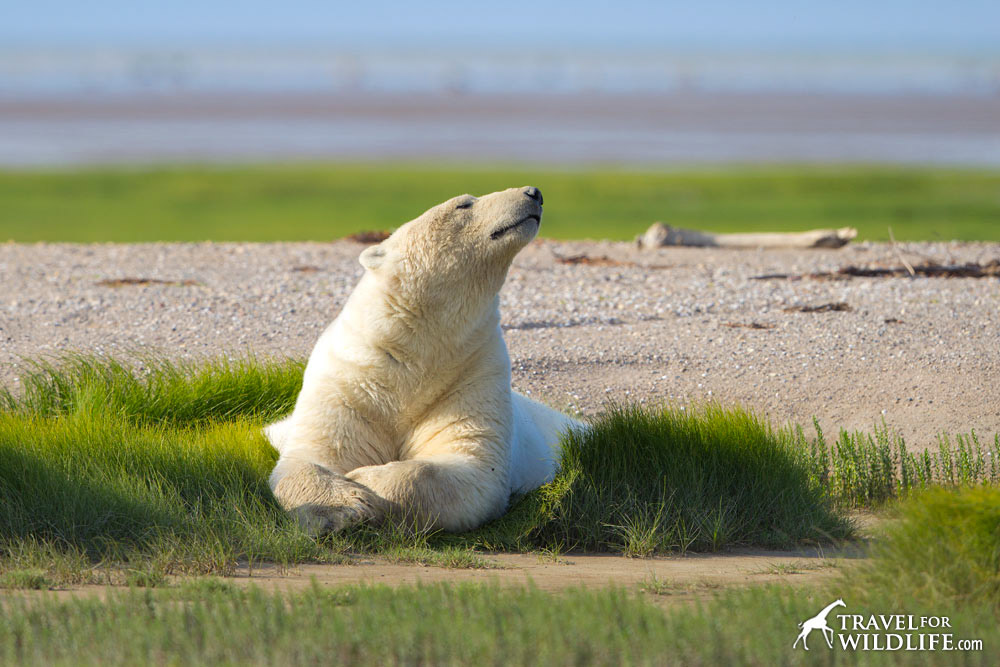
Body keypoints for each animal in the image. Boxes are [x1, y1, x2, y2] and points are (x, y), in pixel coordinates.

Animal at [262, 187, 584, 532]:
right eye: (464, 204)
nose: (533, 192)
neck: (412, 350)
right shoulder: (346, 385)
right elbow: (310, 456)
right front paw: (343, 506)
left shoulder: (472, 374)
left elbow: (467, 465)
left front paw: (365, 481)